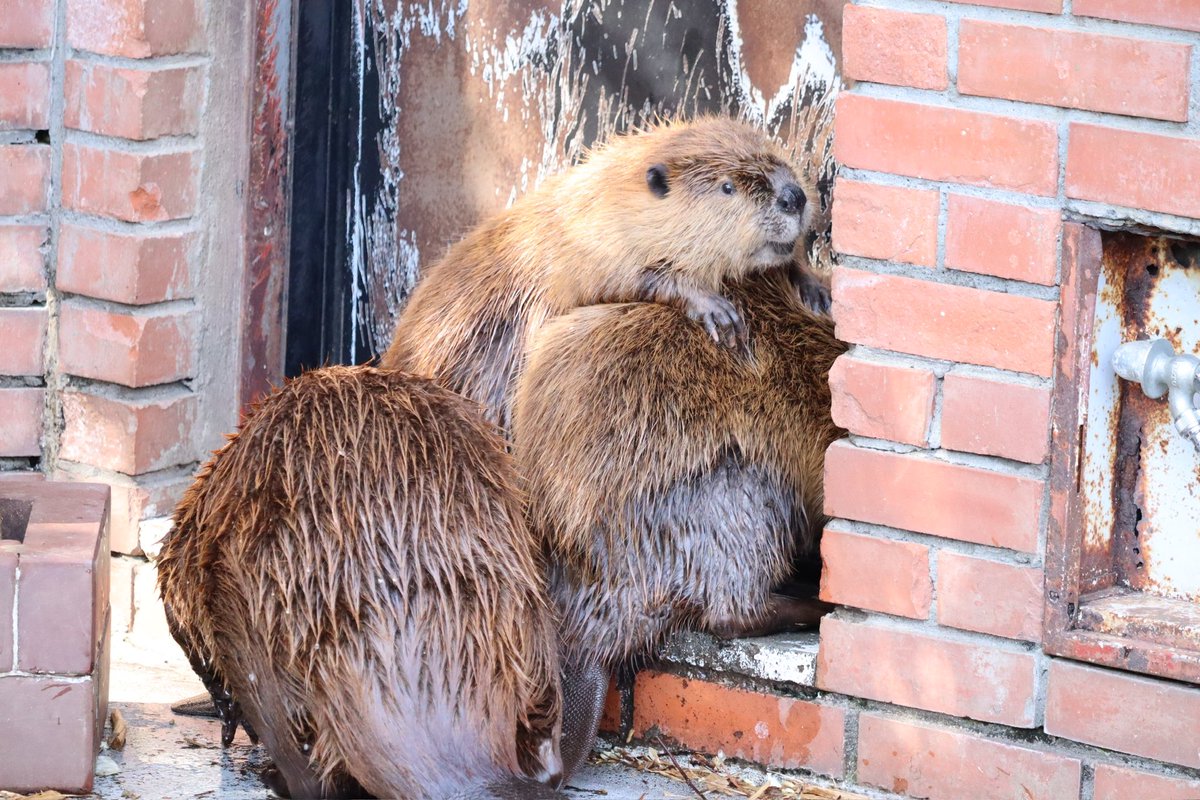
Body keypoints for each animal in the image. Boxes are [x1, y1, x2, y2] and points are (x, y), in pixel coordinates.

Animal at [381, 115, 816, 429]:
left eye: (781, 159)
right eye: (728, 187)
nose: (794, 197)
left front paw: (813, 287)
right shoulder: (578, 251)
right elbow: (630, 277)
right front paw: (718, 311)